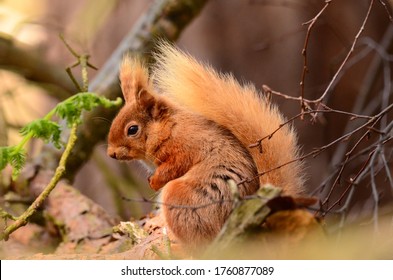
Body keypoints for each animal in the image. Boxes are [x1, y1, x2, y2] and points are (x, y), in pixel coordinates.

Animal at [105, 42, 302, 247]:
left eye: (132, 129)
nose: (111, 153)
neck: (169, 128)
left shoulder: (185, 147)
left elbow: (174, 167)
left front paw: (154, 181)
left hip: (183, 198)